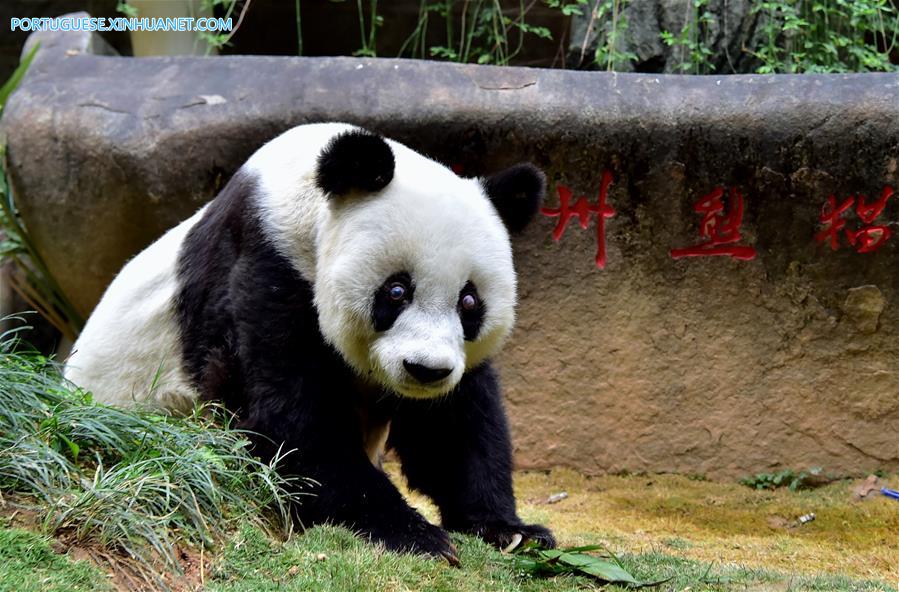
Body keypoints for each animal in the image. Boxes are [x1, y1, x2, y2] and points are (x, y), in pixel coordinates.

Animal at [64, 122, 555, 563]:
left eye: (469, 301)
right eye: (397, 291)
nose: (426, 370)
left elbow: (450, 425)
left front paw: (511, 530)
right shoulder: (266, 268)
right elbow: (289, 418)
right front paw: (414, 534)